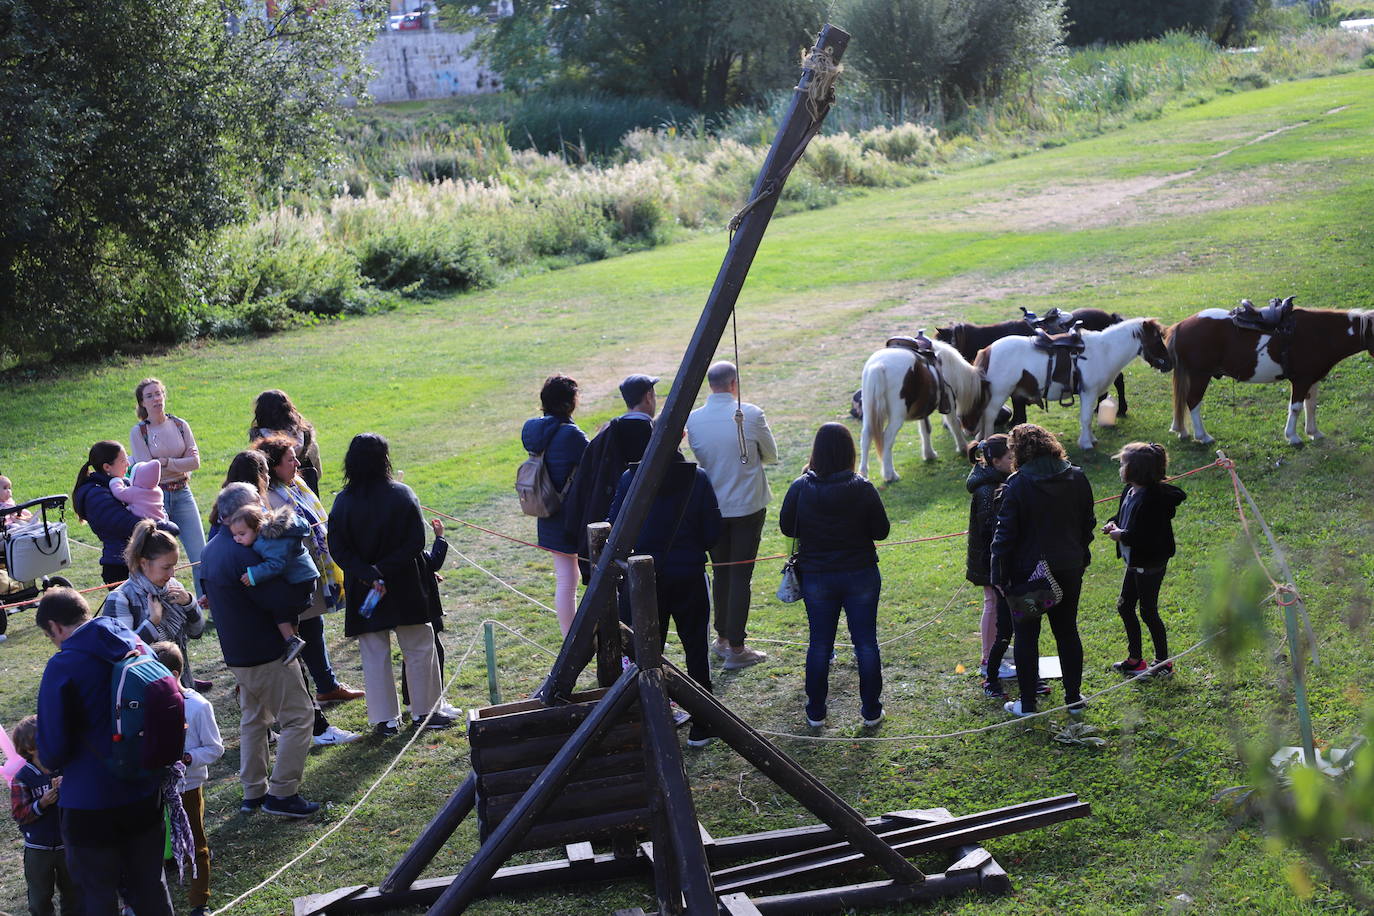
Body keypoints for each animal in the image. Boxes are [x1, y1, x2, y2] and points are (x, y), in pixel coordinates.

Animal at [857, 339, 989, 486]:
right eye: (981, 403)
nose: (972, 431)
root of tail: (878, 366)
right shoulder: (949, 400)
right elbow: (953, 424)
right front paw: (963, 447)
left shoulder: (923, 408)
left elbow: (925, 430)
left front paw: (929, 454)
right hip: (897, 417)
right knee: (887, 438)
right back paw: (890, 475)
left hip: (869, 412)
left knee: (866, 437)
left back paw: (863, 474)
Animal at [967, 317, 1170, 453]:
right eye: (1156, 338)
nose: (1169, 364)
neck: (1105, 351)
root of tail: (988, 350)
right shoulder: (1089, 393)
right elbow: (1086, 419)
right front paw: (1086, 443)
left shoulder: (1091, 394)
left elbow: (1088, 419)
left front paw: (1091, 439)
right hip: (1000, 394)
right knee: (989, 416)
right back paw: (988, 440)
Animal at [1170, 304, 1374, 444]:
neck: (1321, 333)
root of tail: (1181, 325)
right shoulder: (1301, 381)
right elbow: (1296, 408)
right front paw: (1292, 437)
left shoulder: (1312, 379)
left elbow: (1311, 406)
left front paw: (1313, 432)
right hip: (1200, 376)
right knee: (1193, 402)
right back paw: (1203, 436)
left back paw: (1183, 431)